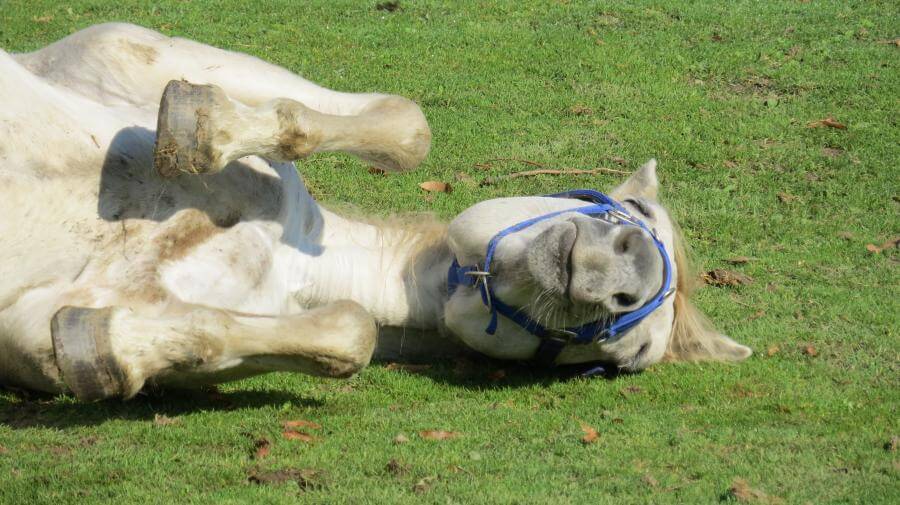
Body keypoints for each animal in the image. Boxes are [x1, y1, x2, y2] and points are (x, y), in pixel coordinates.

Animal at [0, 23, 751, 401]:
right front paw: (200, 124)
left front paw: (104, 347)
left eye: (630, 357)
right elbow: (406, 124)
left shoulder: (30, 329)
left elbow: (347, 336)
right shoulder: (106, 48)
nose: (632, 266)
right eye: (635, 206)